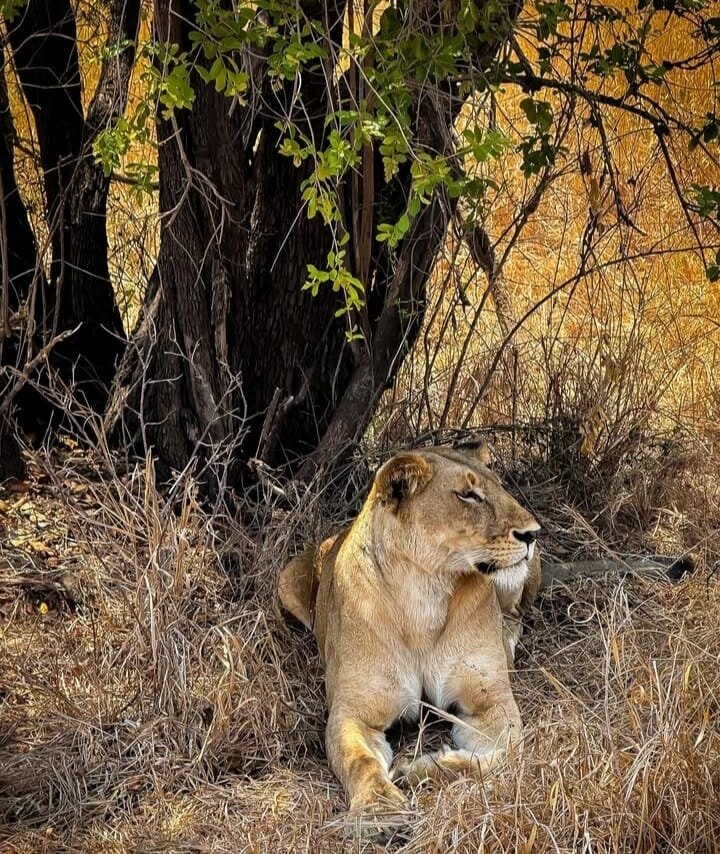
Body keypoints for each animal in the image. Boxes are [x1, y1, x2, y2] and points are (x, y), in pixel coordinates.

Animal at [278, 442, 540, 818]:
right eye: (468, 495)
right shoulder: (352, 712)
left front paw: (423, 770)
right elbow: (361, 762)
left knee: (517, 616)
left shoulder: (490, 702)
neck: (424, 592)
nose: (533, 533)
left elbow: (506, 755)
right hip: (286, 579)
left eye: (500, 487)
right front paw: (379, 807)